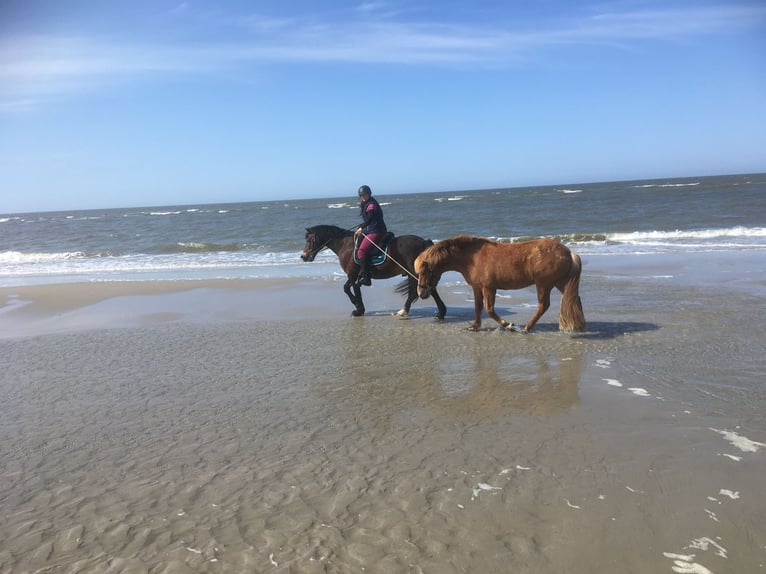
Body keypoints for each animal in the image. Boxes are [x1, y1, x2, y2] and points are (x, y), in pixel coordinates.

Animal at [300, 225, 448, 322]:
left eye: (310, 240)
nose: (303, 256)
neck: (345, 246)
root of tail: (423, 242)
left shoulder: (352, 275)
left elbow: (354, 289)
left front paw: (359, 309)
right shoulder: (353, 274)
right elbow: (347, 288)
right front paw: (357, 306)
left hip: (415, 273)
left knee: (423, 291)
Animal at [416, 234, 584, 332]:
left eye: (425, 271)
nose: (421, 293)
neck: (472, 258)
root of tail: (568, 252)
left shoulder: (489, 287)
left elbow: (489, 309)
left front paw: (508, 325)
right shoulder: (477, 287)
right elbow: (478, 307)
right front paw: (475, 326)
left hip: (543, 284)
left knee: (544, 306)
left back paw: (527, 328)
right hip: (560, 283)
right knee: (574, 299)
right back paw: (579, 325)